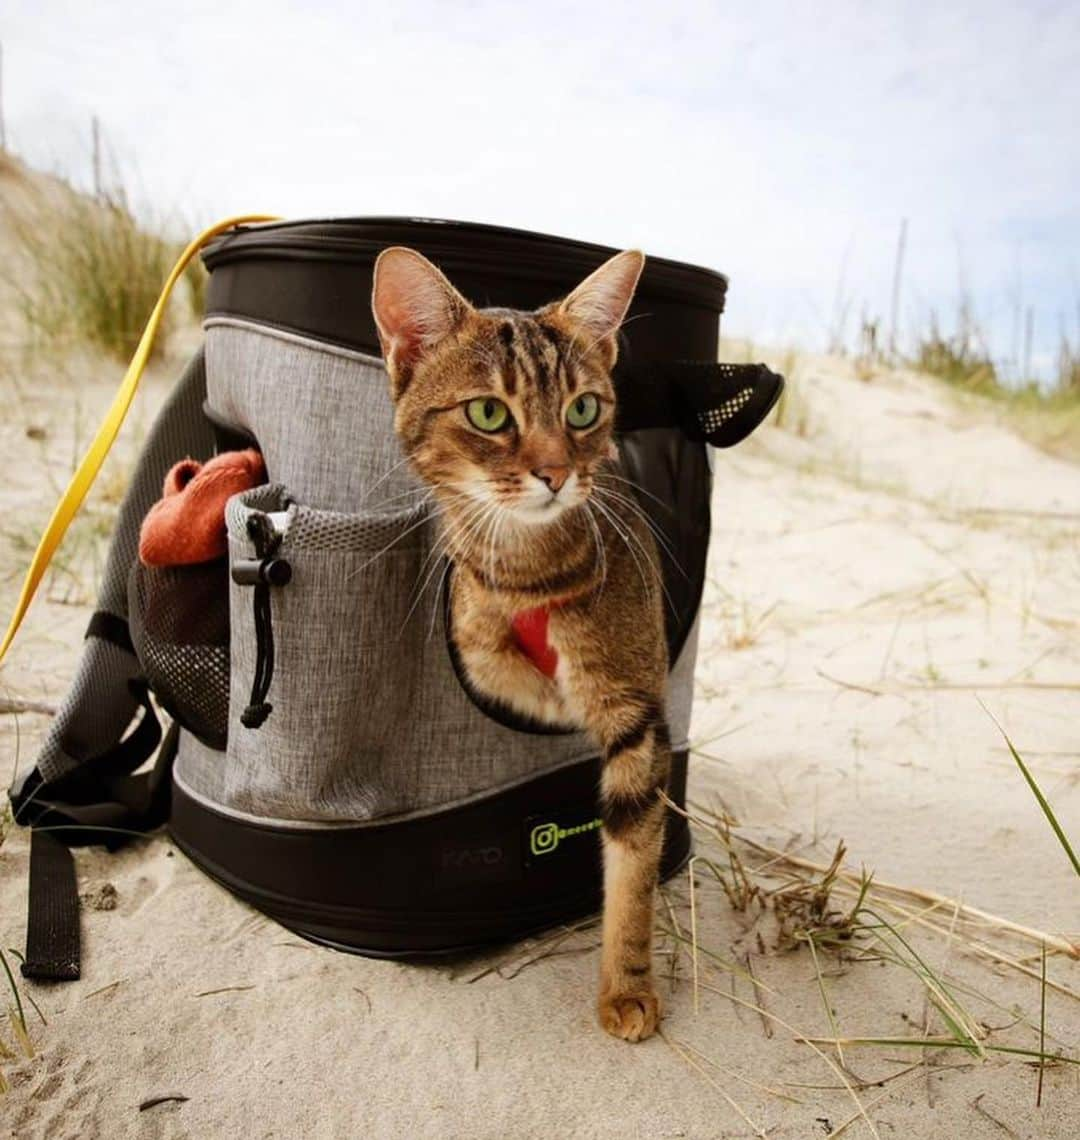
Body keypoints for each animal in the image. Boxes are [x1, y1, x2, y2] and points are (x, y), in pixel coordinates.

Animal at [376, 249, 670, 1044]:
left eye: (583, 409)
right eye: (488, 413)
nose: (557, 473)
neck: (530, 573)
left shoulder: (639, 712)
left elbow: (633, 868)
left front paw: (626, 986)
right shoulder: (476, 649)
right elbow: (510, 672)